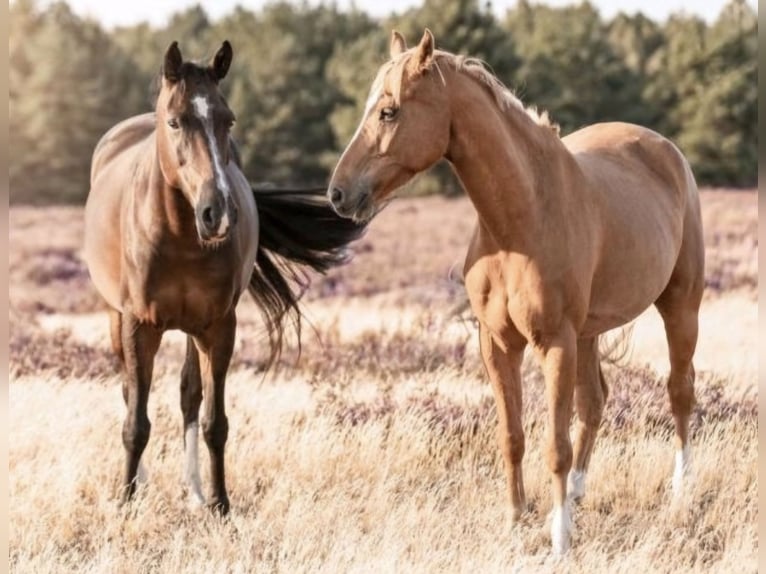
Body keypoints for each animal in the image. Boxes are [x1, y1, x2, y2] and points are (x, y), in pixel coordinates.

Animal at [84, 40, 365, 515]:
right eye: (175, 121)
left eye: (227, 120)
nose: (219, 212)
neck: (179, 235)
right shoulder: (138, 325)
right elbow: (136, 422)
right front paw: (126, 501)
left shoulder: (218, 327)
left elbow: (214, 420)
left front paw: (219, 503)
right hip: (115, 317)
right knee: (129, 391)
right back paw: (141, 482)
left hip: (191, 330)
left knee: (188, 396)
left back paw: (194, 491)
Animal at [326, 29, 704, 554]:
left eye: (389, 111)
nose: (338, 194)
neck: (521, 219)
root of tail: (668, 152)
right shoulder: (498, 343)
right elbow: (512, 435)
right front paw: (516, 518)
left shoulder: (554, 343)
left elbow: (555, 445)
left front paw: (559, 539)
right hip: (589, 333)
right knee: (595, 402)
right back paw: (580, 497)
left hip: (680, 306)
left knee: (680, 392)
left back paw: (679, 492)